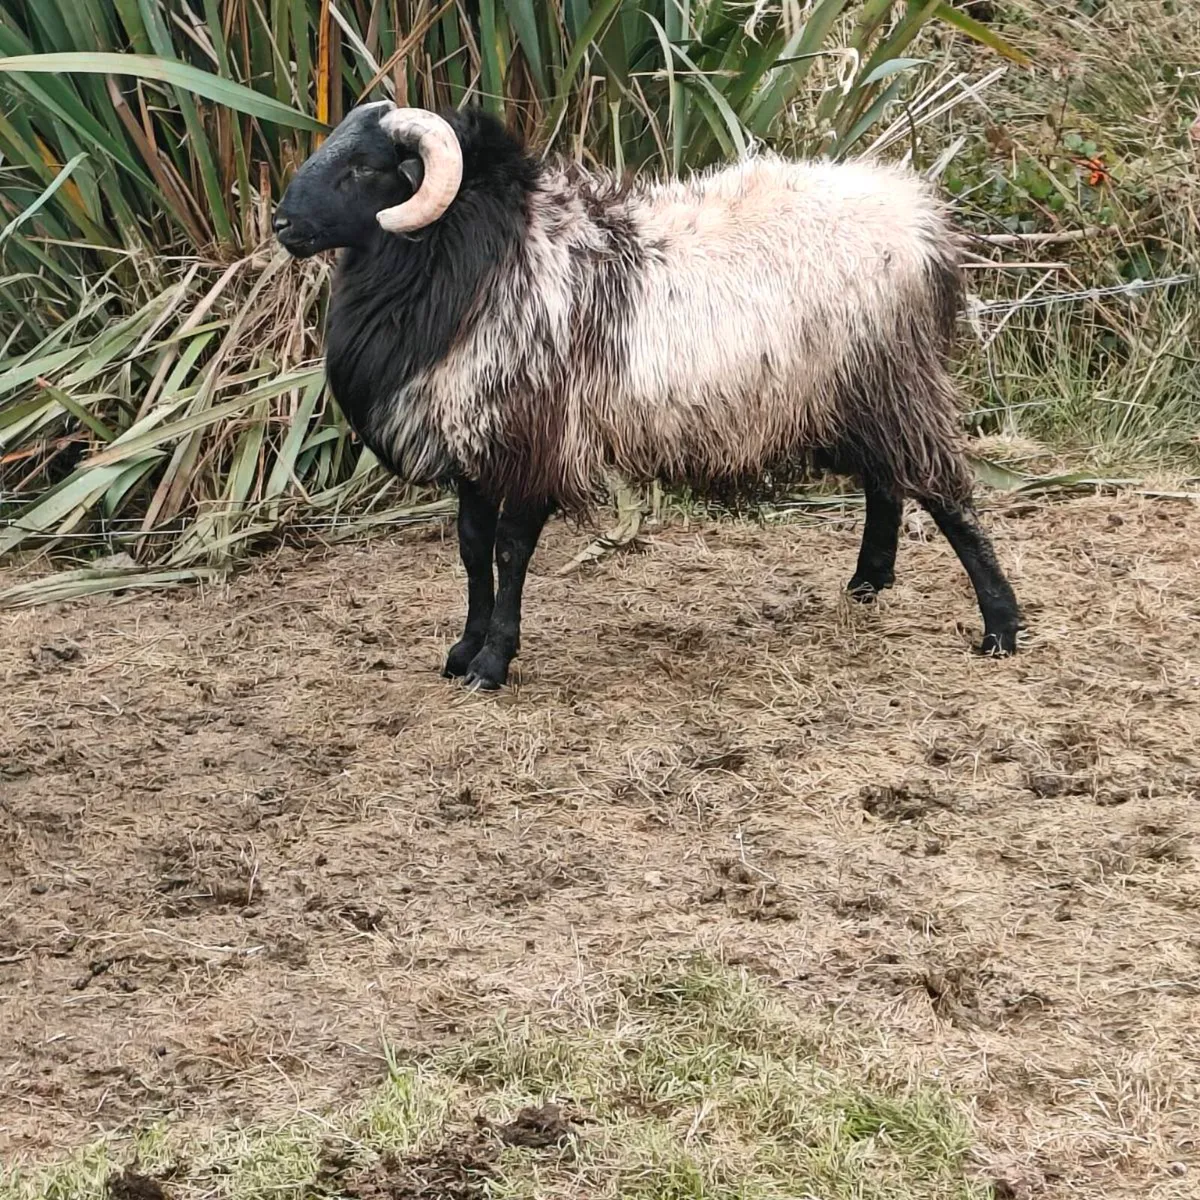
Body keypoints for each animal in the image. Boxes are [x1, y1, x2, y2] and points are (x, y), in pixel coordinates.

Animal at [273, 101, 1023, 690]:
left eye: (364, 167)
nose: (281, 225)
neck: (480, 257)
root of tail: (918, 216)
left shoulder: (536, 440)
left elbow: (510, 552)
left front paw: (492, 664)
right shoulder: (476, 442)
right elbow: (471, 547)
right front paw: (463, 650)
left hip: (893, 380)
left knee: (945, 492)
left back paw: (1001, 626)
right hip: (849, 396)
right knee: (885, 482)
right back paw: (868, 583)